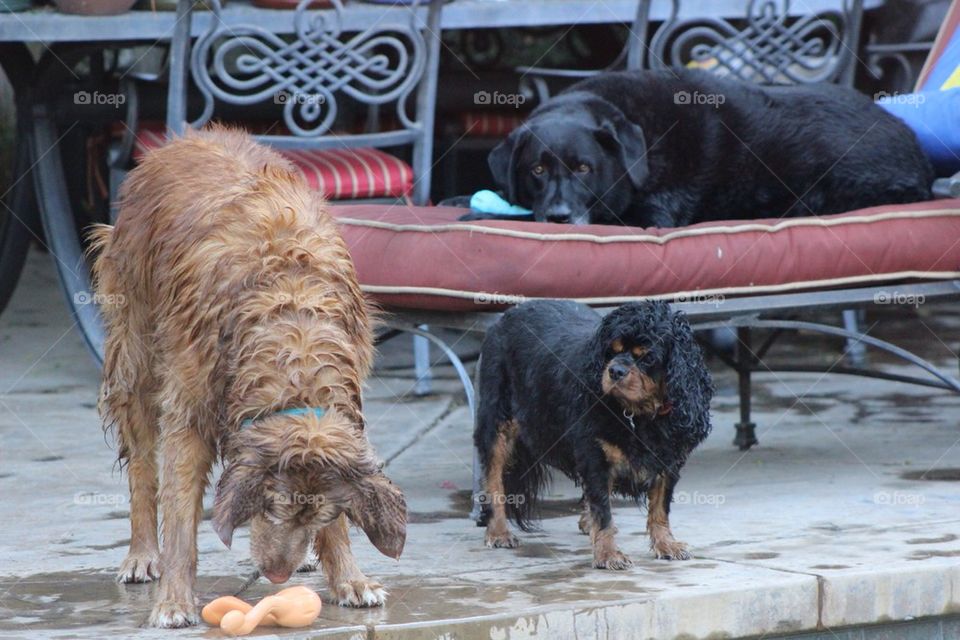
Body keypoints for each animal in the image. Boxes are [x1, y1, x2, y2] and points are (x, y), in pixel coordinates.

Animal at [89, 127, 404, 628]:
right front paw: (174, 600)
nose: (276, 576)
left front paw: (348, 577)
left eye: (314, 516)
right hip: (135, 348)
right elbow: (179, 512)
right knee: (141, 462)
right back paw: (142, 554)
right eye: (271, 508)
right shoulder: (189, 407)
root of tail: (187, 137)